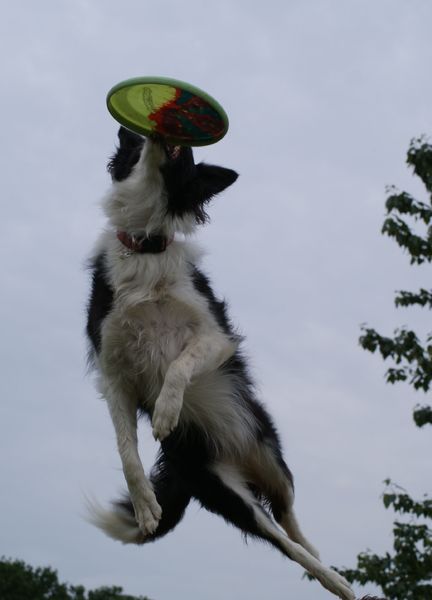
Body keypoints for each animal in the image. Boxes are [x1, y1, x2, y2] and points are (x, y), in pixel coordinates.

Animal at [85, 127, 354, 600]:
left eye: (183, 149)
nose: (125, 129)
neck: (146, 247)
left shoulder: (214, 337)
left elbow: (180, 363)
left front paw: (166, 413)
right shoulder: (113, 370)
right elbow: (127, 450)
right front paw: (145, 505)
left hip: (270, 453)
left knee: (289, 518)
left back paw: (329, 567)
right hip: (224, 492)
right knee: (280, 540)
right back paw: (331, 578)